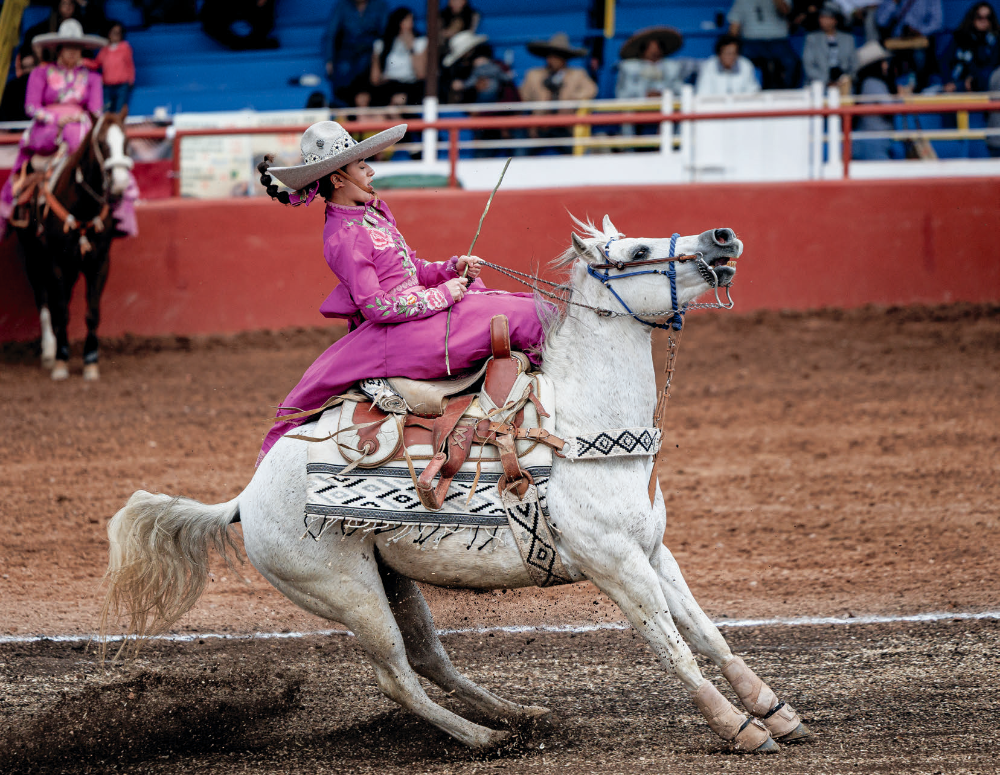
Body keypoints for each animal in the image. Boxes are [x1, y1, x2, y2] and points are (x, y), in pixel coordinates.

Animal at [10, 109, 133, 381]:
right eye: (101, 143)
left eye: (126, 142)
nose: (120, 184)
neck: (82, 206)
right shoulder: (55, 262)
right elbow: (60, 309)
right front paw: (60, 361)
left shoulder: (99, 262)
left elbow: (92, 312)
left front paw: (90, 362)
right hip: (33, 258)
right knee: (45, 300)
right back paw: (49, 349)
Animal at [101, 217, 811, 753]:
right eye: (637, 251)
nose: (722, 236)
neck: (583, 429)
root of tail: (245, 499)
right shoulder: (614, 564)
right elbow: (670, 644)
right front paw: (738, 728)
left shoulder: (653, 552)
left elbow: (705, 631)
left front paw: (774, 710)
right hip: (347, 593)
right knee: (397, 678)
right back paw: (483, 739)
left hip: (392, 579)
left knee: (430, 660)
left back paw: (520, 717)